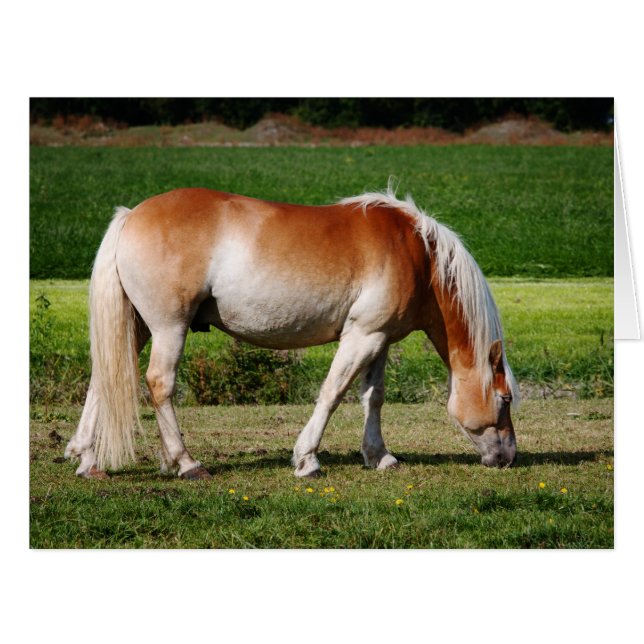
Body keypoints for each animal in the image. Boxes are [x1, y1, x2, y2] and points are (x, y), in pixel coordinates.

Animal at [64, 183, 519, 480]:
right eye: (504, 398)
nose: (509, 456)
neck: (418, 253)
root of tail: (132, 215)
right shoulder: (362, 336)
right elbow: (332, 393)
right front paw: (306, 460)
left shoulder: (381, 340)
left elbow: (373, 397)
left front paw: (379, 456)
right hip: (168, 328)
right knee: (160, 384)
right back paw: (187, 463)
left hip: (136, 326)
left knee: (102, 379)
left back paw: (88, 461)